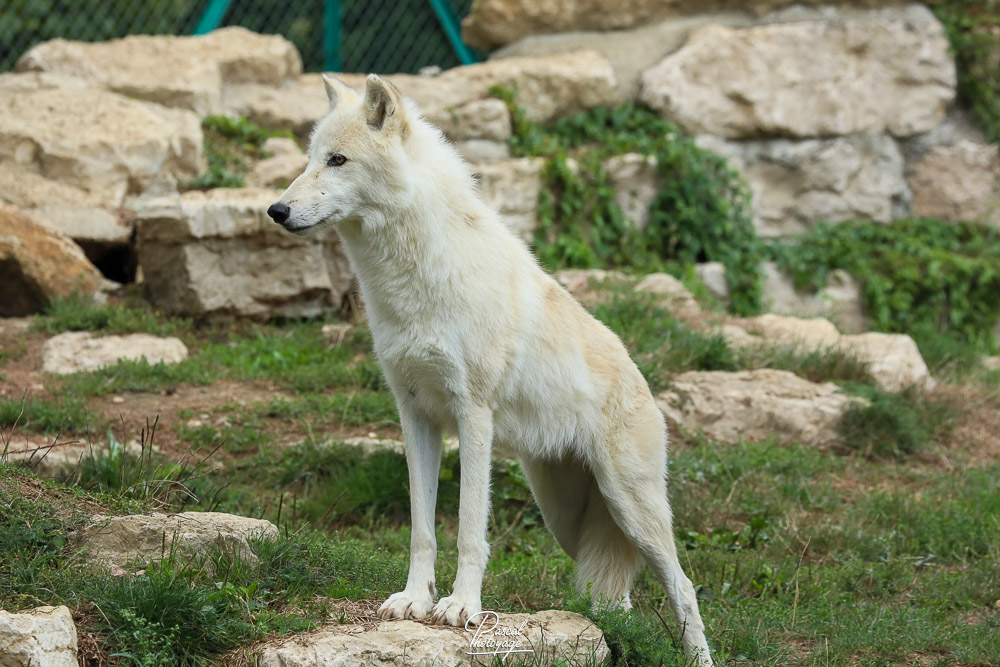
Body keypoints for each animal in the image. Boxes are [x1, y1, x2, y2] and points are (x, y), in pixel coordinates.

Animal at [267, 74, 713, 665]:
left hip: (631, 510)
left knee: (682, 587)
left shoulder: (472, 415)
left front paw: (461, 607)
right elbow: (422, 528)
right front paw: (414, 600)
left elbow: (469, 531)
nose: (275, 210)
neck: (409, 281)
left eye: (338, 160)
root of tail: (644, 384)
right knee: (617, 600)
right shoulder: (415, 416)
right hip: (568, 521)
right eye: (311, 159)